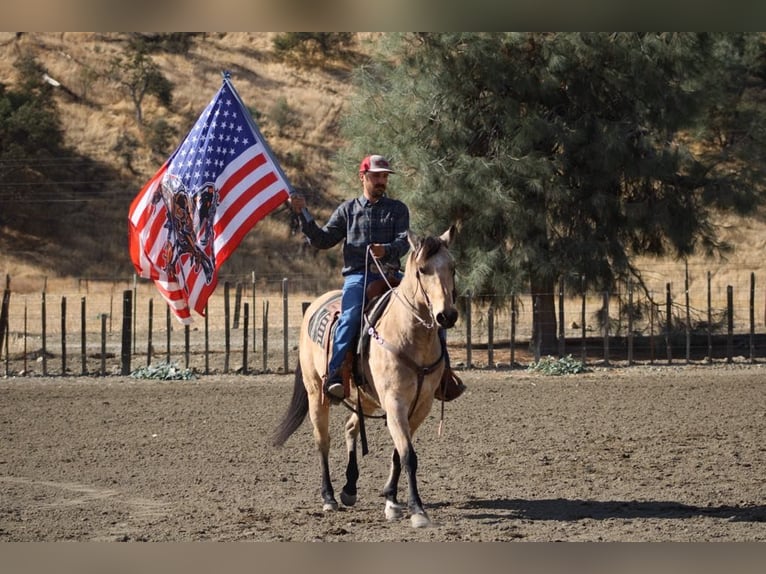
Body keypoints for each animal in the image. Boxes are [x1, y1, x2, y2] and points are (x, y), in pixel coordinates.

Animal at [272, 226, 460, 532]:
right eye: (422, 269)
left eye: (452, 267)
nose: (447, 315)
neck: (410, 337)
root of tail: (313, 306)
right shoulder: (394, 402)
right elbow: (408, 455)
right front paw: (417, 510)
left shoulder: (420, 406)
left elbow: (399, 452)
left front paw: (392, 500)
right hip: (316, 394)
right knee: (322, 441)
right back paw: (329, 497)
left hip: (367, 398)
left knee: (350, 427)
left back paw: (349, 488)